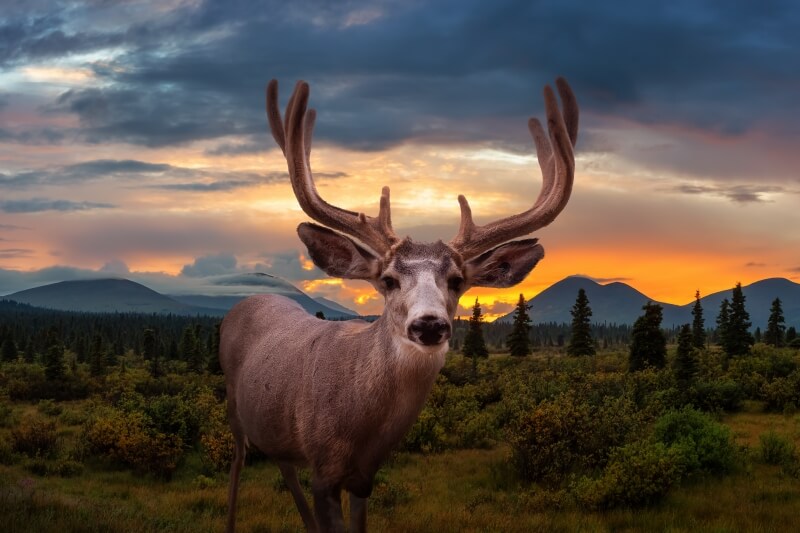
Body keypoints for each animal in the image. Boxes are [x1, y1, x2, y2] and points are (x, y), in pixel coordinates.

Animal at [219, 76, 578, 532]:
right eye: (387, 280)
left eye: (457, 281)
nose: (429, 325)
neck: (359, 427)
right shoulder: (324, 469)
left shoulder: (363, 478)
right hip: (234, 407)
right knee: (238, 461)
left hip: (275, 429)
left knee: (283, 465)